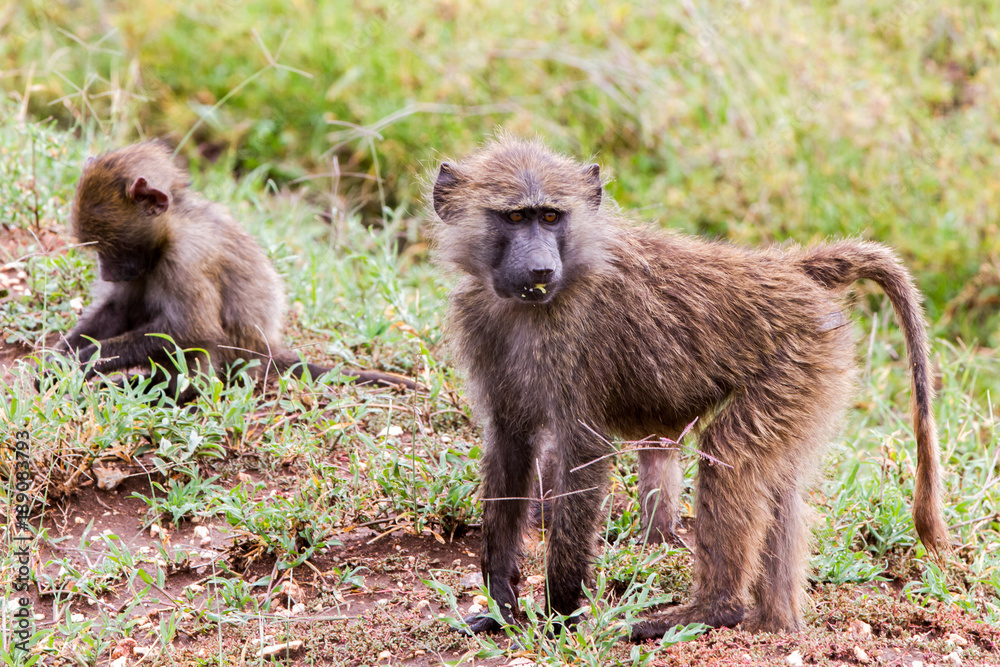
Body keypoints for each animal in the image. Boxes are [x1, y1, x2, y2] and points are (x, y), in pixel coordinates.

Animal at [47, 141, 416, 401]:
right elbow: (119, 309)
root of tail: (266, 349)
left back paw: (166, 392)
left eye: (109, 249)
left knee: (202, 346)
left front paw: (87, 359)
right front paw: (58, 357)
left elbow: (191, 330)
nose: (106, 274)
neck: (173, 227)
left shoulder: (188, 258)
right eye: (98, 251)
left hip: (239, 356)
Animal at [430, 136, 948, 638]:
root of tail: (790, 270)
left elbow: (583, 454)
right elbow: (510, 445)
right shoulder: (482, 326)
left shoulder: (575, 343)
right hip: (811, 372)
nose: (540, 270)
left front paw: (559, 615)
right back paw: (776, 623)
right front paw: (500, 605)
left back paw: (710, 612)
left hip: (797, 360)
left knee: (731, 452)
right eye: (517, 217)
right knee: (777, 480)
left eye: (552, 217)